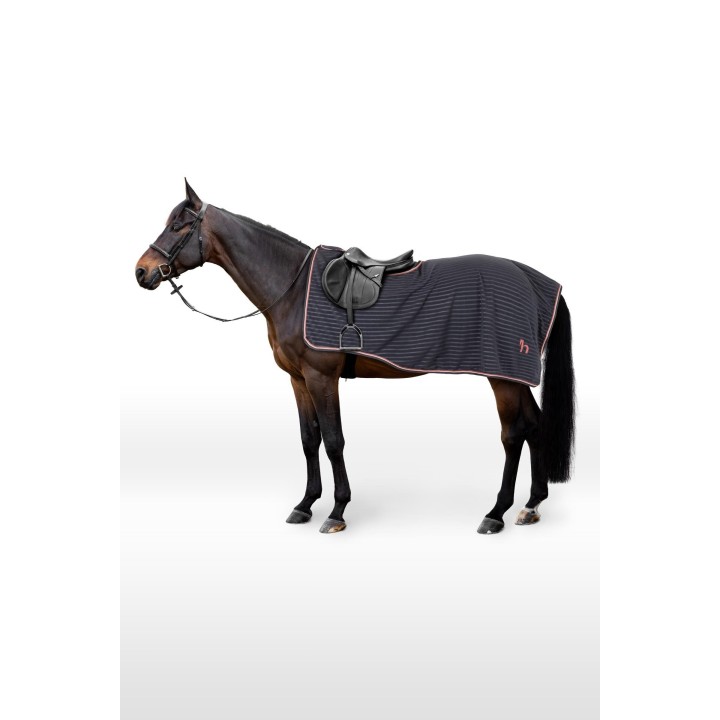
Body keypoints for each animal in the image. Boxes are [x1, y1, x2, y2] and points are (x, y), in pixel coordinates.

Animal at [135, 181, 575, 535]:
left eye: (178, 226)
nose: (142, 272)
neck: (292, 289)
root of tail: (533, 279)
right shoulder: (298, 380)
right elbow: (308, 440)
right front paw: (305, 505)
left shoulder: (321, 377)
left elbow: (333, 441)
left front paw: (337, 511)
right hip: (513, 377)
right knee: (534, 426)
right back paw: (531, 505)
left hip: (502, 377)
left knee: (513, 434)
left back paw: (497, 513)